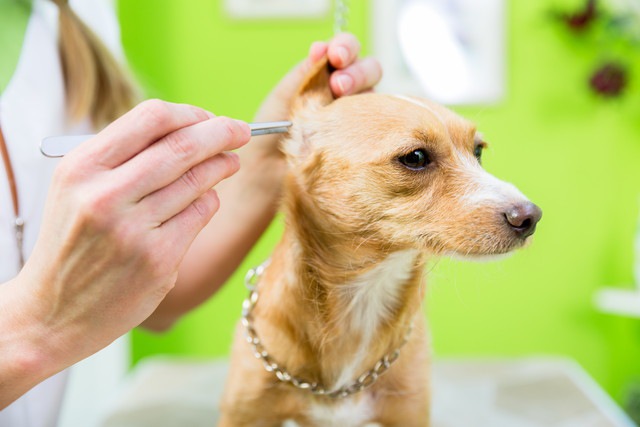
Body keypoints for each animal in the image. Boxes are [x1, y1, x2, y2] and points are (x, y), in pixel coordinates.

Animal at [219, 59, 540, 427]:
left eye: (477, 151)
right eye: (415, 157)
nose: (531, 217)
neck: (368, 289)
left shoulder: (409, 410)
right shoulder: (245, 413)